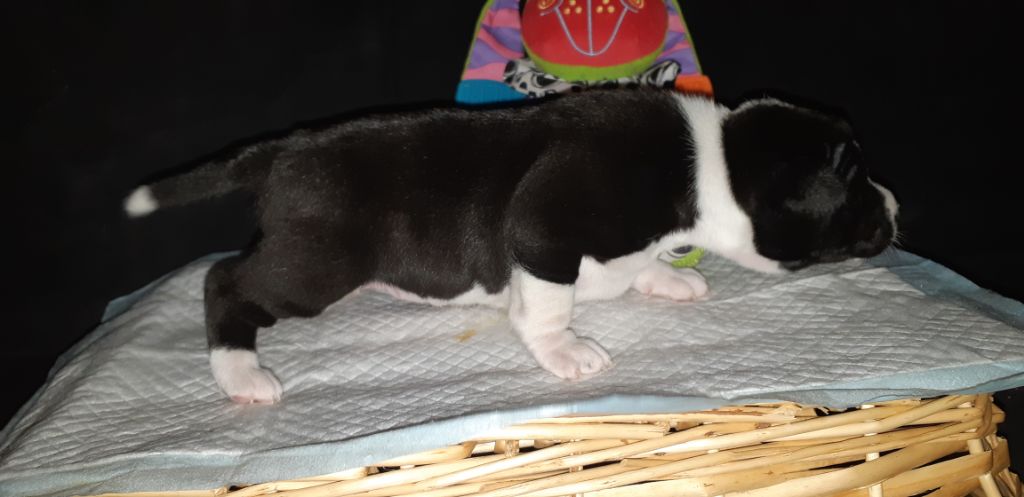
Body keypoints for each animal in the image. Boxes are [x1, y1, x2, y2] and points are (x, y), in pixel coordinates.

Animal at [125, 89, 898, 404]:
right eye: (854, 178)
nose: (894, 204)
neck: (712, 162)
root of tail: (282, 149)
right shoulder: (544, 225)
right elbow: (547, 304)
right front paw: (564, 349)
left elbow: (634, 264)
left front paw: (663, 277)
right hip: (314, 266)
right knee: (225, 281)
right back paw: (241, 373)